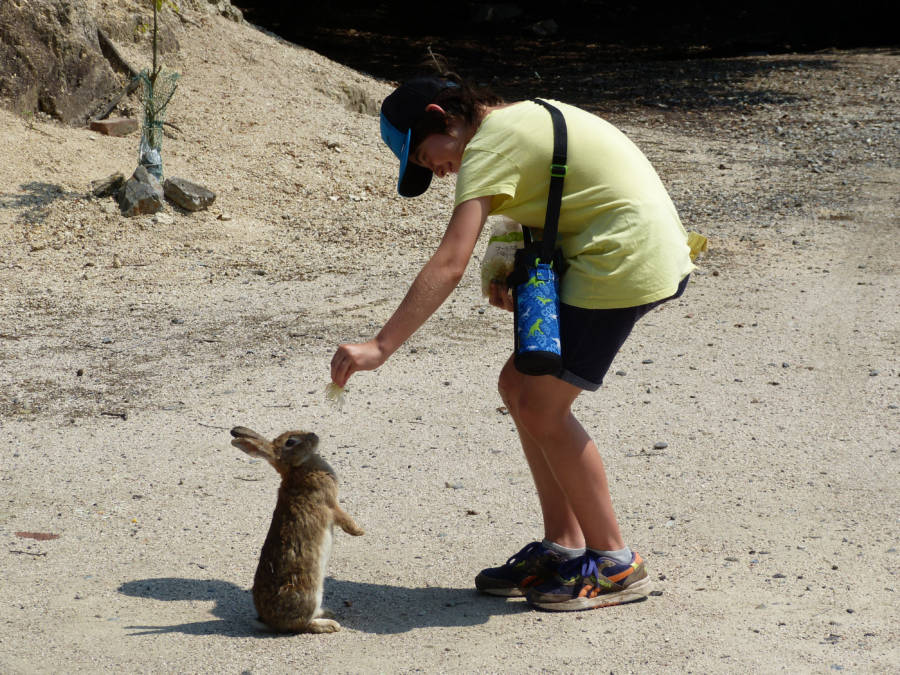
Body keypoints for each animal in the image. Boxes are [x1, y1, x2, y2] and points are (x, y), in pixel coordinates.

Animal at [230, 428, 364, 632]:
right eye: (290, 442)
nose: (314, 435)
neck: (296, 468)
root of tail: (270, 622)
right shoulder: (329, 503)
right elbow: (343, 517)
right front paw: (359, 531)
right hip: (309, 594)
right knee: (303, 625)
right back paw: (330, 624)